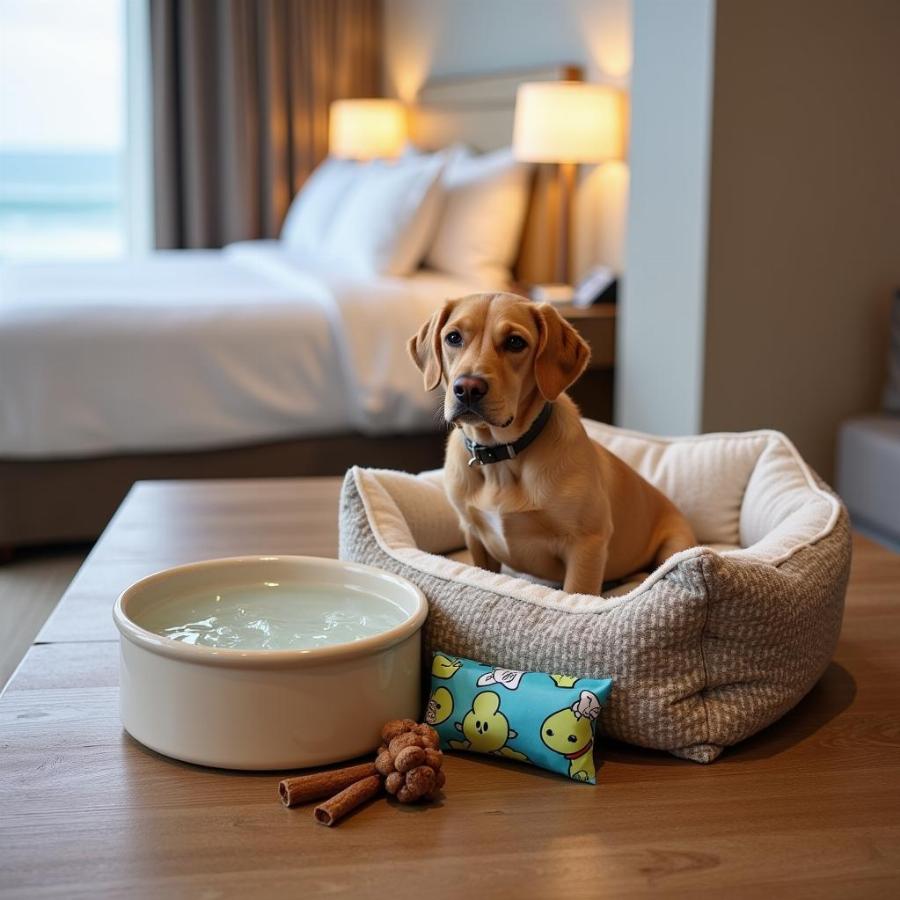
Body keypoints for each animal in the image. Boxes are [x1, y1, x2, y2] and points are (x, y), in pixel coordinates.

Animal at [408, 292, 696, 596]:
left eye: (515, 342)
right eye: (453, 337)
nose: (468, 389)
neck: (501, 459)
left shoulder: (587, 542)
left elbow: (576, 593)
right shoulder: (473, 535)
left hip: (675, 543)